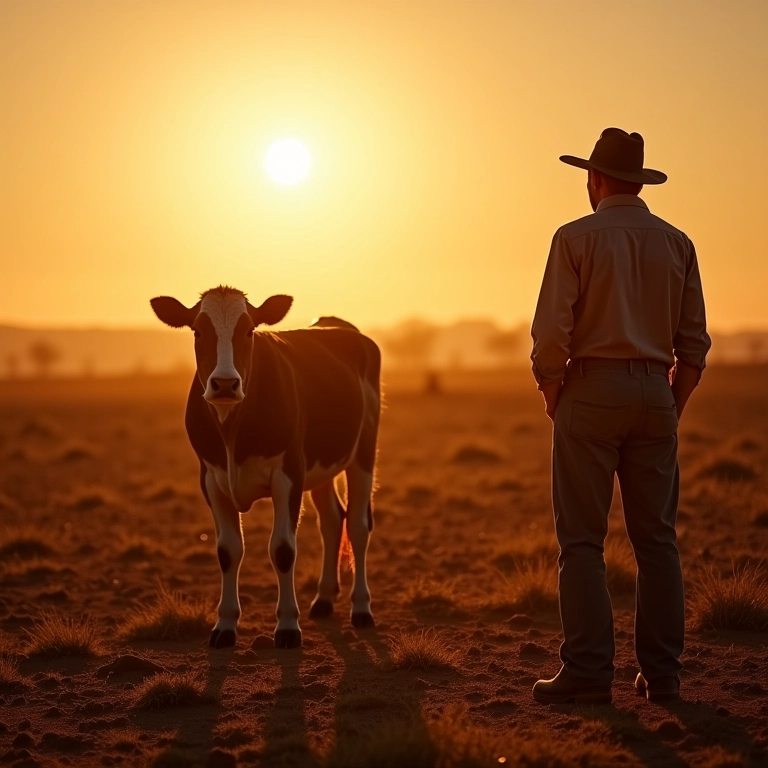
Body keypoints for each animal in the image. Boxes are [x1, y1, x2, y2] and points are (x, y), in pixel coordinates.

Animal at [150, 286, 380, 649]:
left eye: (249, 331)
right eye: (198, 331)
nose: (225, 384)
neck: (232, 430)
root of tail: (337, 325)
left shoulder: (288, 474)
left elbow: (283, 549)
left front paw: (287, 626)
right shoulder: (211, 479)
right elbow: (228, 551)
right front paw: (225, 626)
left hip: (363, 452)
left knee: (357, 525)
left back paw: (361, 608)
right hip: (321, 467)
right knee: (332, 521)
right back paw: (324, 599)